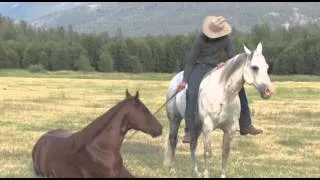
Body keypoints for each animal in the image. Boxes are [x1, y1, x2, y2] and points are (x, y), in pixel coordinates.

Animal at [165, 43, 276, 178]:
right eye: (255, 67)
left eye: (266, 67)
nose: (269, 91)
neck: (223, 94)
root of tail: (176, 79)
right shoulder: (207, 127)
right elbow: (208, 153)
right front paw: (206, 175)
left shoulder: (230, 129)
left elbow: (225, 154)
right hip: (174, 120)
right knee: (173, 141)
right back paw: (171, 169)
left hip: (197, 127)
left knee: (193, 144)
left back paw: (195, 171)